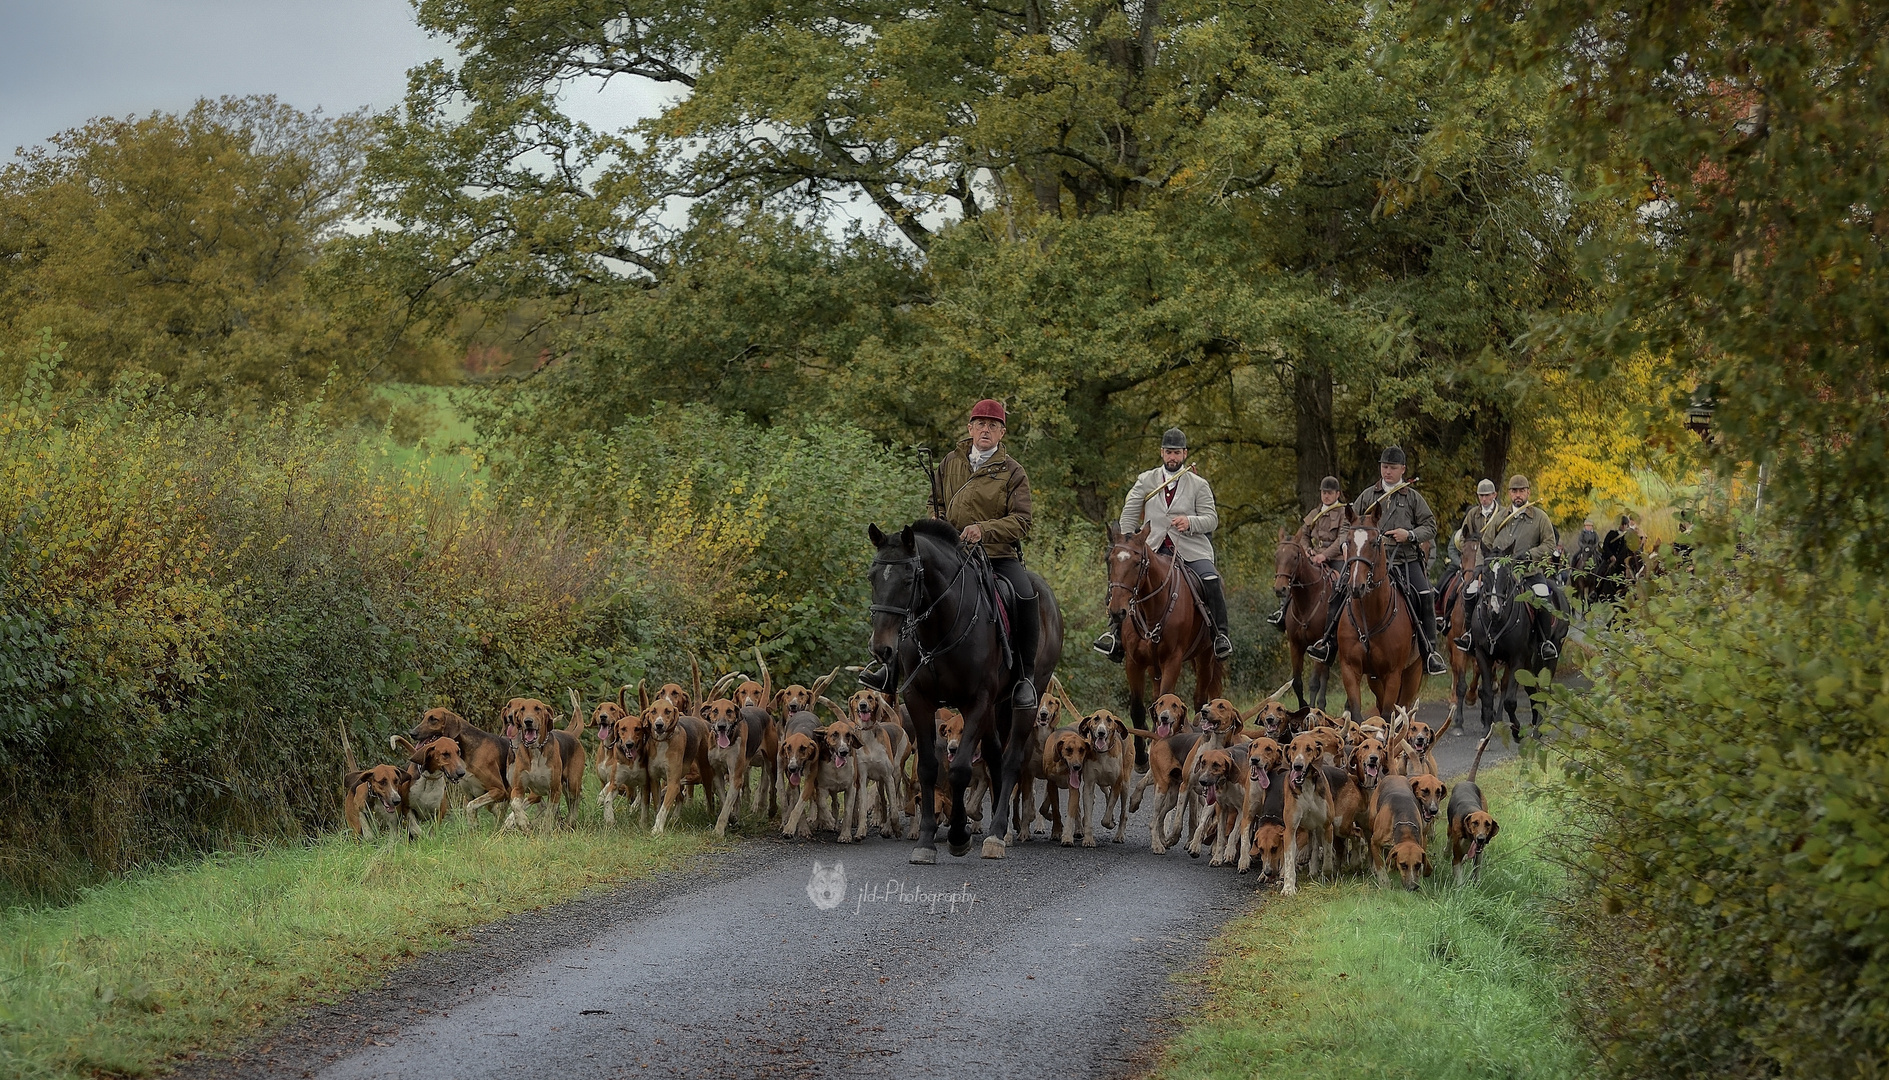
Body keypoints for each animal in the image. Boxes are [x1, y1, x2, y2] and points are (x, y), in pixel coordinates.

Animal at [865, 517, 1065, 864]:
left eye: (908, 580)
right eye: (872, 577)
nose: (882, 649)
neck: (939, 626)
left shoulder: (977, 701)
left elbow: (959, 770)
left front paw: (959, 835)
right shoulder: (918, 700)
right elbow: (928, 768)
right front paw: (926, 841)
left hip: (1028, 696)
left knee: (1010, 758)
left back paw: (998, 834)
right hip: (996, 706)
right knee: (995, 754)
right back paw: (1002, 825)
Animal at [1103, 521, 1216, 759]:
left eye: (1137, 563)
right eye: (1110, 560)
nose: (1117, 612)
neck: (1152, 608)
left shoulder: (1172, 661)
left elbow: (1167, 701)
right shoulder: (1134, 662)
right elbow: (1138, 708)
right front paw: (1141, 755)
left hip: (1205, 658)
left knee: (1200, 699)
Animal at [1269, 528, 1344, 713]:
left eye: (1295, 557)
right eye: (1276, 555)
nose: (1280, 589)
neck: (1307, 602)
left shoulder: (1317, 644)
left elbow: (1314, 683)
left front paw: (1311, 712)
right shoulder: (1296, 645)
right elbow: (1297, 682)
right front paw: (1303, 707)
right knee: (1326, 673)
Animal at [1337, 509, 1420, 725]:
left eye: (1374, 543)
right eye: (1348, 541)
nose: (1356, 586)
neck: (1369, 617)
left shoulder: (1393, 674)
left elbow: (1388, 715)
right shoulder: (1350, 669)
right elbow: (1357, 715)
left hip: (1412, 673)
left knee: (1404, 709)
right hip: (1374, 678)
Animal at [1458, 555, 1564, 743]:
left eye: (1506, 575)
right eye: (1485, 574)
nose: (1495, 610)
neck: (1496, 622)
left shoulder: (1516, 658)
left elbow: (1509, 701)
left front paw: (1516, 731)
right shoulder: (1483, 656)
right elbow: (1487, 694)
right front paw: (1486, 732)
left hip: (1549, 657)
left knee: (1544, 690)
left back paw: (1538, 730)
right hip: (1529, 661)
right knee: (1532, 690)